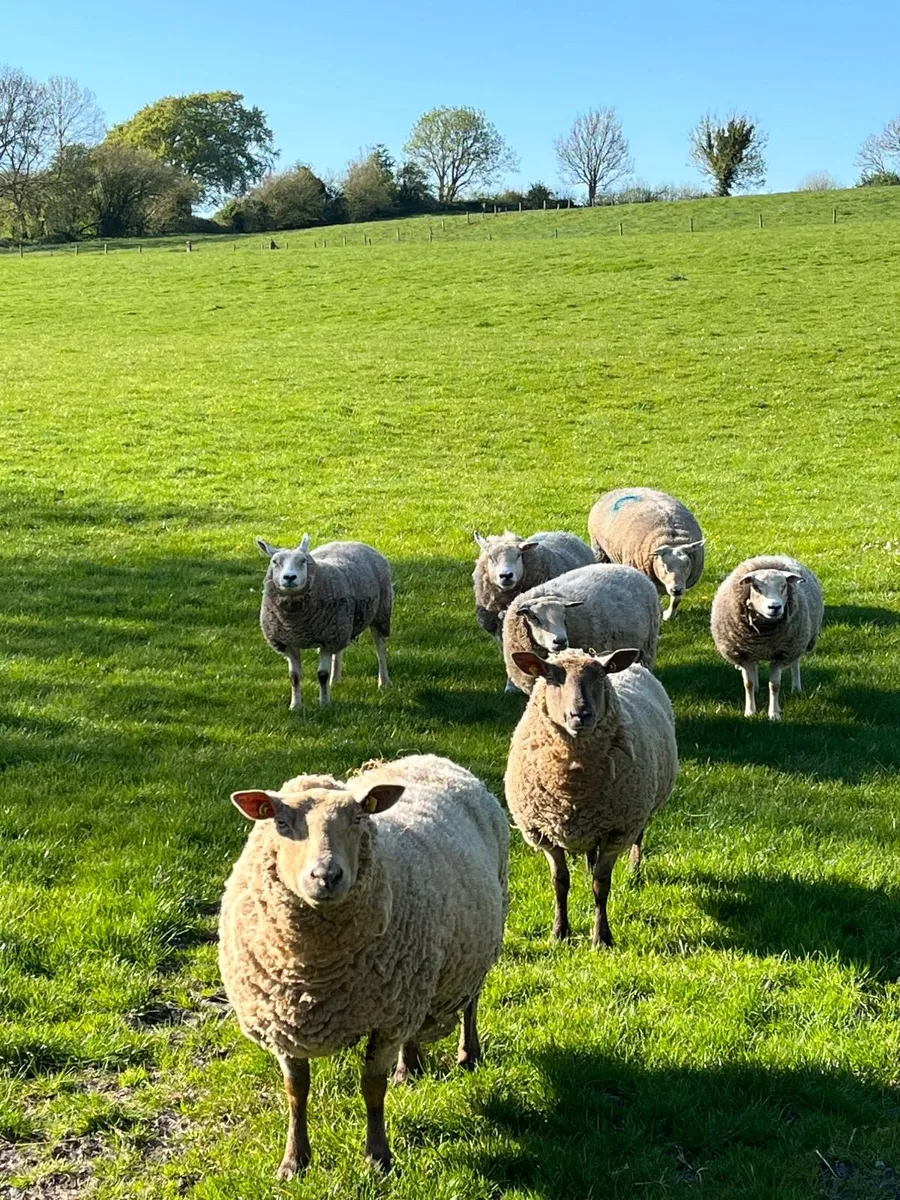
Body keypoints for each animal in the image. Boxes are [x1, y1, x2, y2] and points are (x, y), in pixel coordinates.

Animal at [218, 753, 509, 1177]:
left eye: (357, 818)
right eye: (281, 822)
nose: (326, 876)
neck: (314, 974)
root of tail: (429, 757)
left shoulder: (385, 1020)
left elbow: (373, 1088)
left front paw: (378, 1157)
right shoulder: (282, 1022)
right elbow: (296, 1092)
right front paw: (294, 1161)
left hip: (478, 942)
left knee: (471, 1002)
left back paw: (468, 1055)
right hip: (416, 982)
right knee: (416, 1027)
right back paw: (409, 1068)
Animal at [256, 534, 392, 709]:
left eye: (303, 561)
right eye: (274, 561)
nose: (289, 577)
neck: (296, 623)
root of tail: (349, 541)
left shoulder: (327, 639)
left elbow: (322, 674)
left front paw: (324, 703)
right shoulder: (289, 642)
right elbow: (294, 676)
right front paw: (295, 706)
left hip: (380, 613)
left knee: (380, 649)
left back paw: (384, 682)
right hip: (342, 624)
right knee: (339, 651)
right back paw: (335, 680)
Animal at [505, 648, 677, 948]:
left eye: (600, 676)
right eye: (551, 677)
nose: (580, 714)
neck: (574, 787)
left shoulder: (616, 831)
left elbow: (601, 885)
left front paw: (601, 937)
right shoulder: (543, 833)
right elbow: (559, 882)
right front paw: (559, 932)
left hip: (639, 811)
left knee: (638, 840)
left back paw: (634, 871)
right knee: (588, 854)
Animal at [588, 487, 705, 621]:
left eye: (687, 565)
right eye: (664, 566)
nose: (676, 589)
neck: (672, 539)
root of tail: (623, 488)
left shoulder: (681, 583)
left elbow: (676, 600)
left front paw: (668, 615)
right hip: (599, 549)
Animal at [710, 555, 824, 720]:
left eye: (783, 586)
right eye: (756, 587)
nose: (775, 607)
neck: (763, 637)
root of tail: (777, 555)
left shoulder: (782, 653)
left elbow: (774, 685)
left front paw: (774, 713)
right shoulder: (744, 654)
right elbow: (748, 683)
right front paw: (750, 711)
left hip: (798, 642)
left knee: (795, 664)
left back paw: (796, 688)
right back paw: (757, 688)